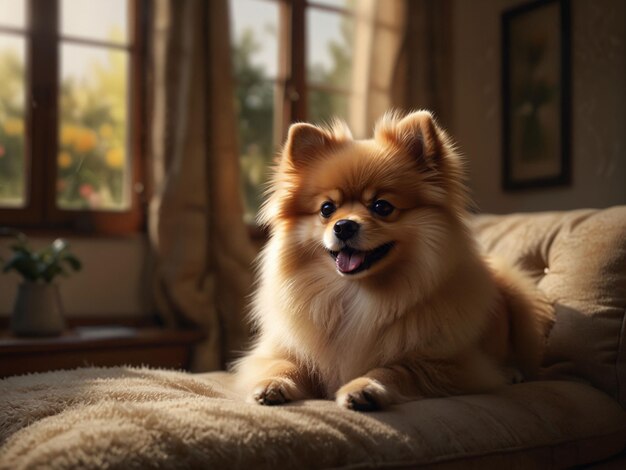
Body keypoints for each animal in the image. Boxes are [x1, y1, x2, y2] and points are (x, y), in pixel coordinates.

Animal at [233, 110, 552, 412]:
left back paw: (513, 371)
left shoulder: (453, 364)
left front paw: (365, 387)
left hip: (517, 296)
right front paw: (271, 384)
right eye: (327, 209)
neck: (356, 294)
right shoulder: (278, 351)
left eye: (382, 207)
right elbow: (282, 364)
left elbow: (396, 369)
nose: (343, 226)